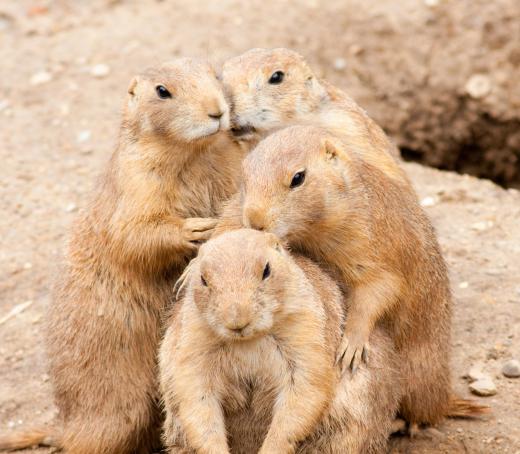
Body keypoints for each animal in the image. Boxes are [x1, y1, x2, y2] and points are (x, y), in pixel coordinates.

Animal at [0, 58, 244, 452]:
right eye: (162, 91)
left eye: (214, 73)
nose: (217, 111)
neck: (193, 153)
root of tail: (63, 423)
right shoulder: (135, 182)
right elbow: (132, 232)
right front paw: (194, 229)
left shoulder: (229, 163)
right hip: (115, 412)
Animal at [212, 126, 488, 428]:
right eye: (244, 175)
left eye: (298, 178)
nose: (254, 220)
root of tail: (445, 396)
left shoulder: (373, 248)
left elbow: (377, 291)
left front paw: (350, 348)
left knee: (423, 415)